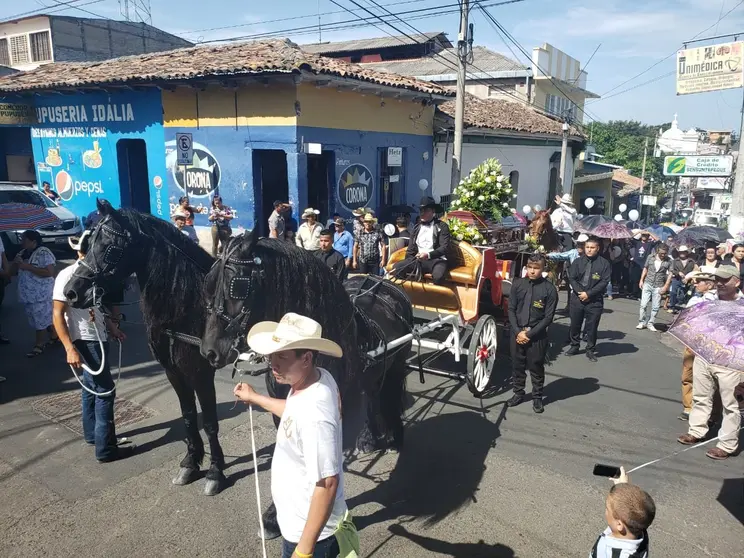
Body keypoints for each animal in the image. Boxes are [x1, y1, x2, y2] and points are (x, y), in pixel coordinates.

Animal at [63, 199, 227, 496]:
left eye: (111, 248)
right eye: (89, 242)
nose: (71, 292)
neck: (190, 306)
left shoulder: (200, 373)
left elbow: (209, 422)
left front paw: (215, 472)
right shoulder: (173, 373)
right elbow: (188, 416)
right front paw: (190, 463)